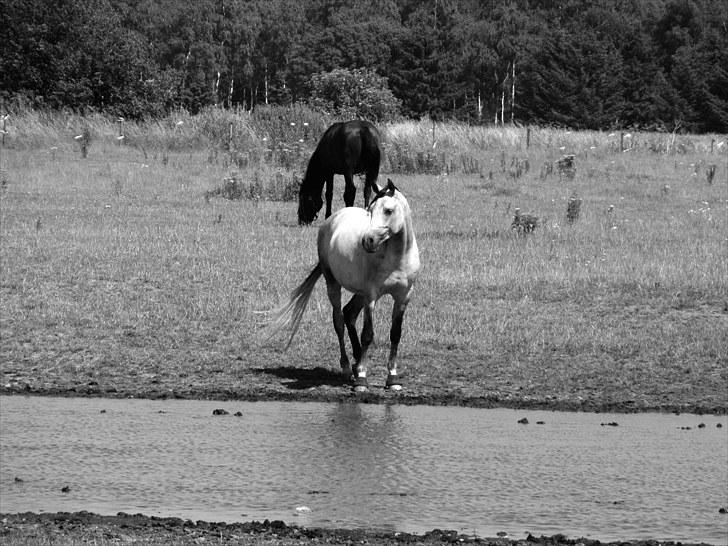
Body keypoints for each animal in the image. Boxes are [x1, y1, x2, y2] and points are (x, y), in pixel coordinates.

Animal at [268, 180, 418, 392]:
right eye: (370, 210)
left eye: (388, 210)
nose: (367, 241)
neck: (397, 258)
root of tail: (331, 219)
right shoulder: (371, 297)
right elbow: (367, 334)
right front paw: (362, 378)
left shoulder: (403, 297)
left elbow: (395, 334)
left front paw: (393, 378)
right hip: (334, 284)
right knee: (339, 320)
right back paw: (348, 368)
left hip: (360, 293)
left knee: (349, 313)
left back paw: (355, 363)